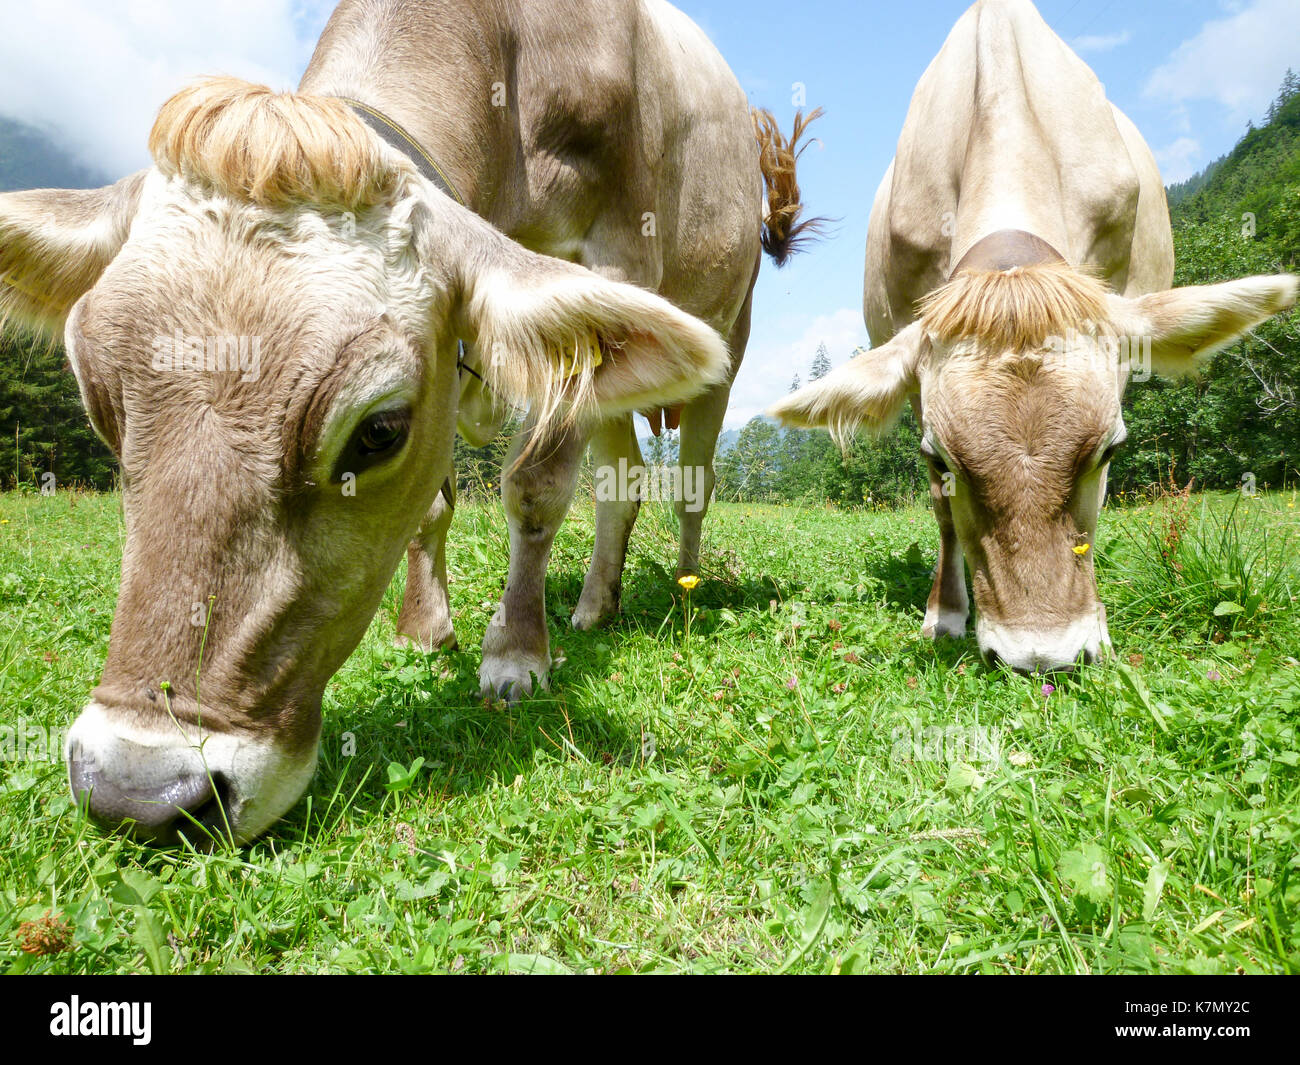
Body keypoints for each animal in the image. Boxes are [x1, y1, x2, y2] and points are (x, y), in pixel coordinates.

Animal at [0, 0, 820, 842]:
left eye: (378, 430)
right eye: (101, 401)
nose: (138, 789)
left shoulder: (610, 260)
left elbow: (534, 489)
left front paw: (515, 653)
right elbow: (436, 504)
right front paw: (427, 628)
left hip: (726, 332)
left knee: (692, 482)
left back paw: (682, 585)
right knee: (619, 484)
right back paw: (596, 604)